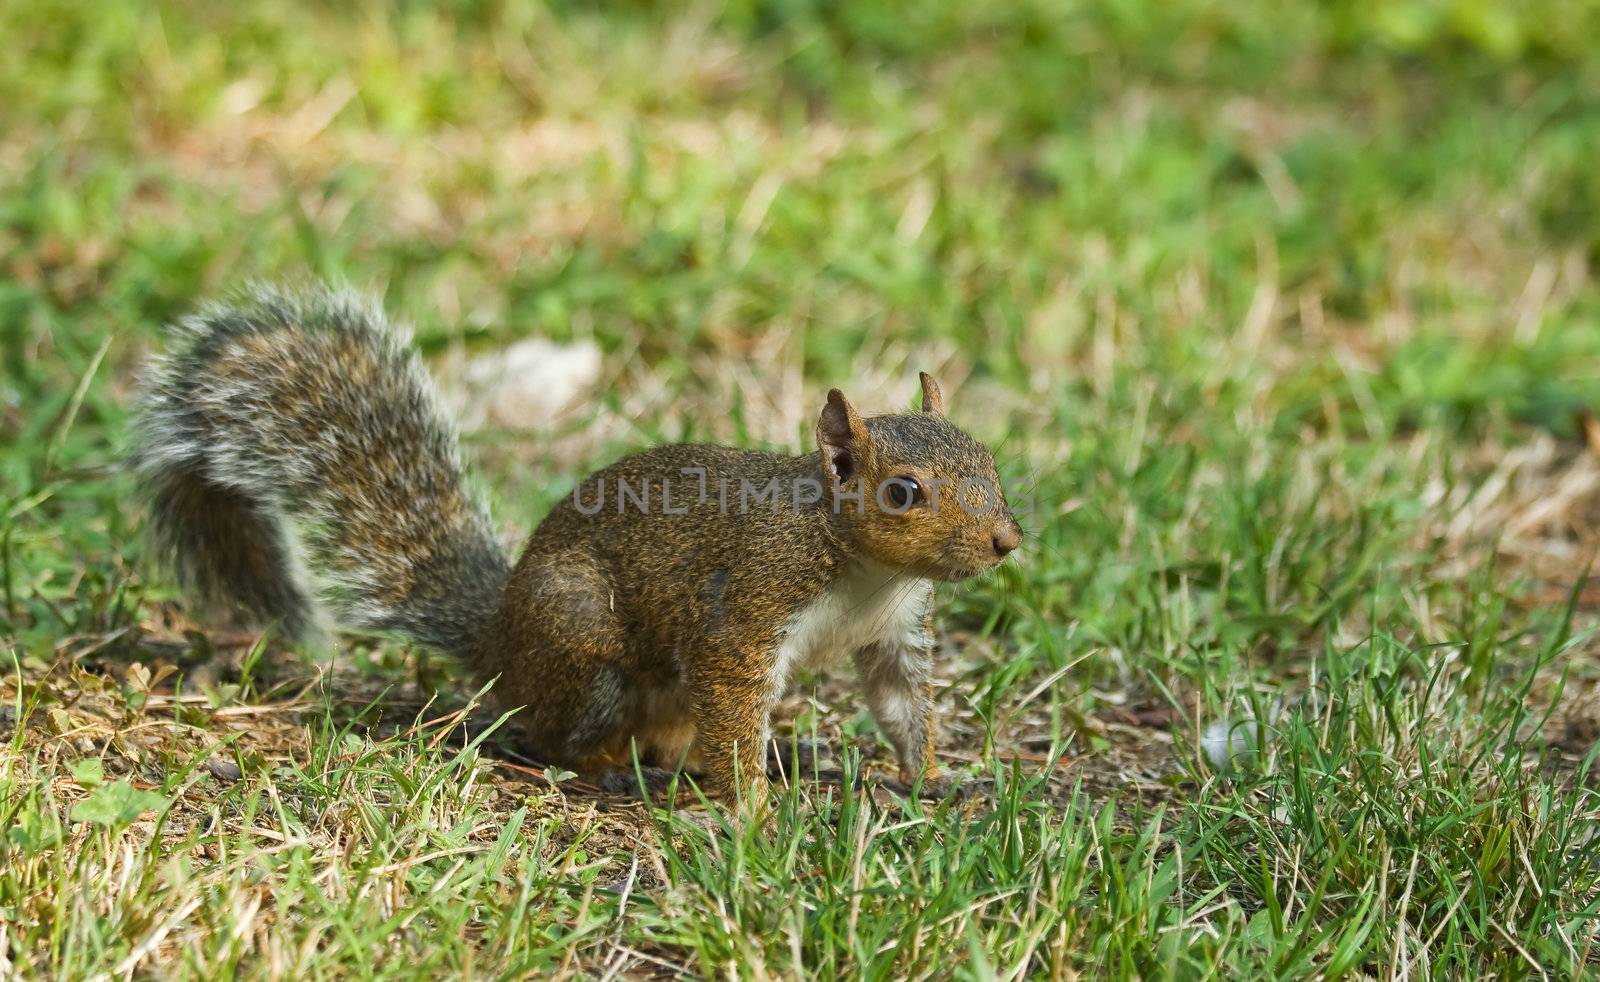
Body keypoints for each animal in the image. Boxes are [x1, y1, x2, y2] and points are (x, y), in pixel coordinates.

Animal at [131, 284, 1017, 809]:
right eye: (902, 492)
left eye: (989, 459)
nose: (1005, 541)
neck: (864, 571)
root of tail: (500, 641)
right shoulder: (749, 605)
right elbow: (735, 703)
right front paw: (752, 811)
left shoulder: (894, 634)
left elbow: (902, 706)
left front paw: (933, 779)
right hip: (583, 641)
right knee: (558, 739)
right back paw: (613, 771)